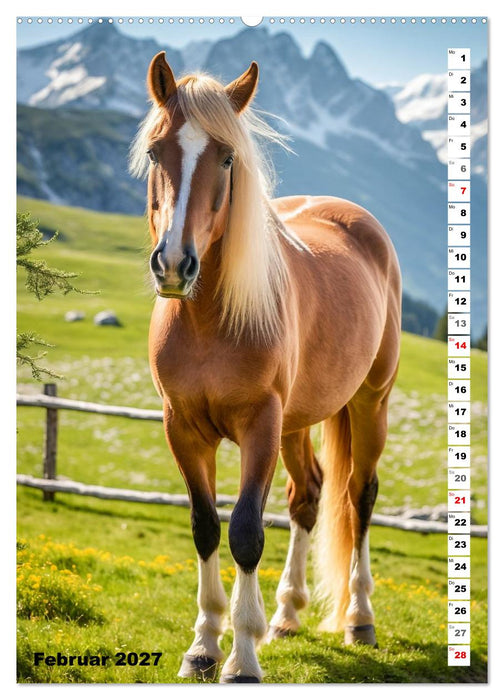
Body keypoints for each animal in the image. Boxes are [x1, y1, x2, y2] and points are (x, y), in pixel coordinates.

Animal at [129, 52, 401, 683]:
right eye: (155, 152)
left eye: (227, 157)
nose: (174, 264)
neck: (208, 320)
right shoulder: (182, 428)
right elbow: (205, 526)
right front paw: (204, 645)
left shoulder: (260, 426)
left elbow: (246, 532)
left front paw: (242, 658)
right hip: (299, 422)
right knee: (309, 495)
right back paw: (286, 615)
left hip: (368, 404)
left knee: (358, 496)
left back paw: (359, 620)